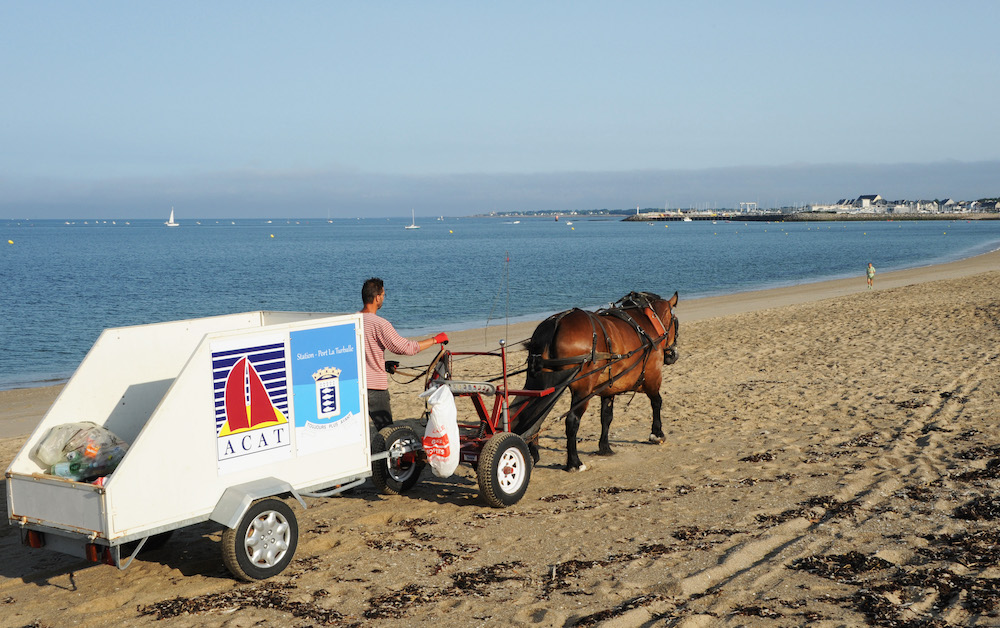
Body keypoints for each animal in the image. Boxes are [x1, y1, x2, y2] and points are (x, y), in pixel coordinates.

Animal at [516, 294, 680, 472]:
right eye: (675, 322)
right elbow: (657, 402)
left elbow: (606, 416)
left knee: (532, 416)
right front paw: (657, 434)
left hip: (540, 383)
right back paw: (574, 462)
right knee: (571, 420)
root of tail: (556, 323)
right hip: (582, 390)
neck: (646, 323)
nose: (673, 355)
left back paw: (532, 454)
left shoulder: (609, 389)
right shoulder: (652, 377)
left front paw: (604, 447)